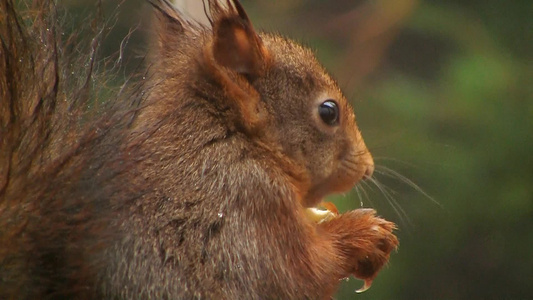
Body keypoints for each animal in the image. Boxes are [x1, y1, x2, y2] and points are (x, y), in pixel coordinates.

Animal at [1, 0, 394, 298]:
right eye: (328, 112)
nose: (368, 168)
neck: (229, 136)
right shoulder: (247, 207)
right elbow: (303, 272)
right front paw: (366, 234)